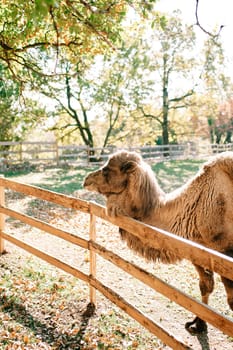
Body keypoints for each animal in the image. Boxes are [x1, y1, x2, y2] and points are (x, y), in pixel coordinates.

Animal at [83, 149, 233, 332]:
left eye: (106, 169)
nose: (86, 179)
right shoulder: (200, 251)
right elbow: (206, 284)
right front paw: (198, 324)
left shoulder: (225, 253)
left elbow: (231, 301)